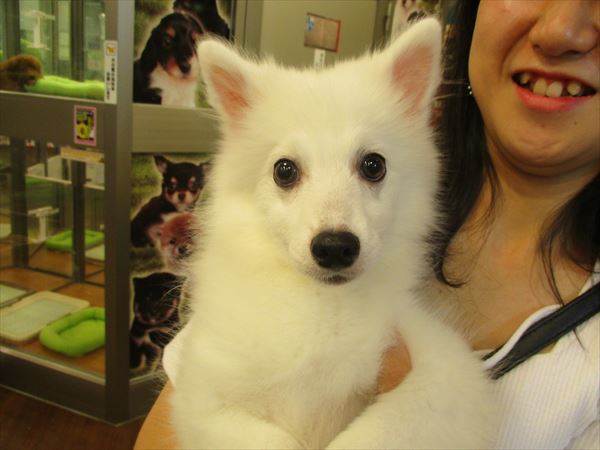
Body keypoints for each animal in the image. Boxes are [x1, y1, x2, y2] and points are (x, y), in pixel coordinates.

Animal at [168, 18, 497, 449]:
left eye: (374, 165)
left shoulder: (446, 373)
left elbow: (377, 430)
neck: (321, 306)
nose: (335, 247)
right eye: (284, 170)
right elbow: (271, 440)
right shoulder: (204, 398)